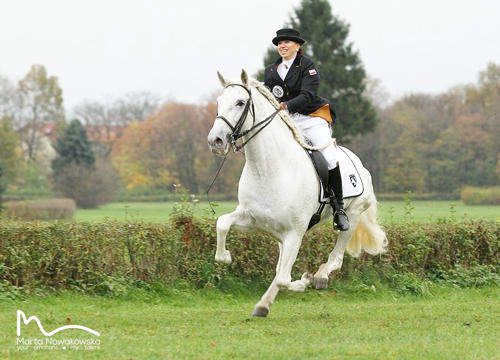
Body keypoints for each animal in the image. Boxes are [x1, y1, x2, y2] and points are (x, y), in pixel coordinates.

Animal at [207, 70, 386, 318]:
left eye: (240, 102)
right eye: (219, 102)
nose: (215, 141)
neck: (268, 169)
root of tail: (358, 162)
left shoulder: (295, 233)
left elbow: (283, 279)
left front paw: (305, 281)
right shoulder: (251, 219)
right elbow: (222, 224)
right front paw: (225, 257)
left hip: (353, 214)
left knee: (337, 255)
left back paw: (320, 277)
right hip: (281, 236)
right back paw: (263, 305)